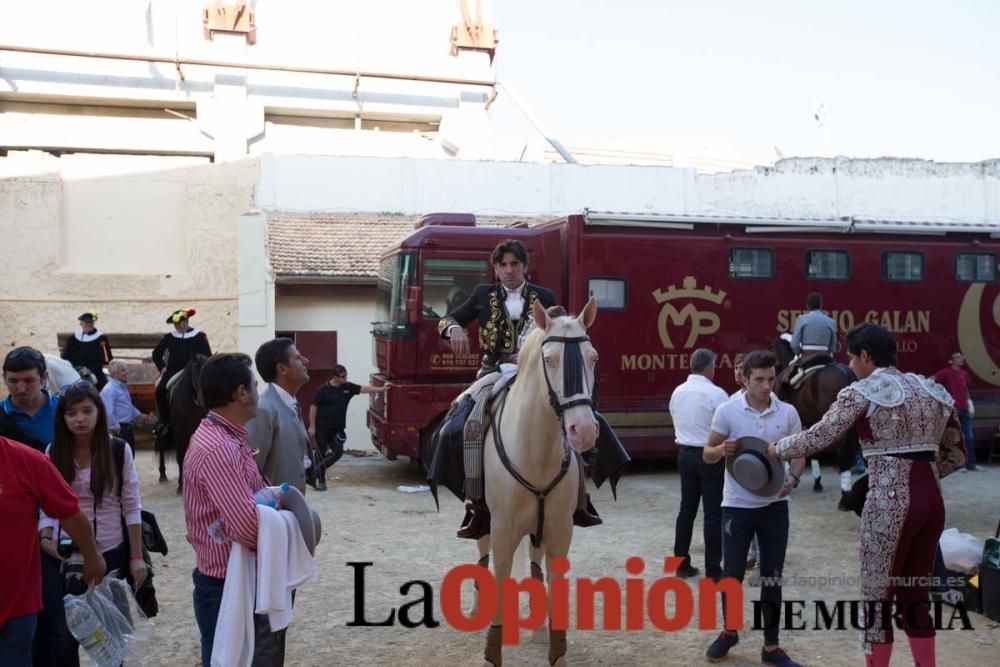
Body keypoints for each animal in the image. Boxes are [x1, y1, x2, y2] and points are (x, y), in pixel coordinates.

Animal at [152, 358, 205, 494]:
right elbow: (181, 456)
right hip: (166, 427)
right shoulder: (181, 432)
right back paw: (162, 475)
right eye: (196, 373)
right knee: (161, 444)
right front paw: (181, 485)